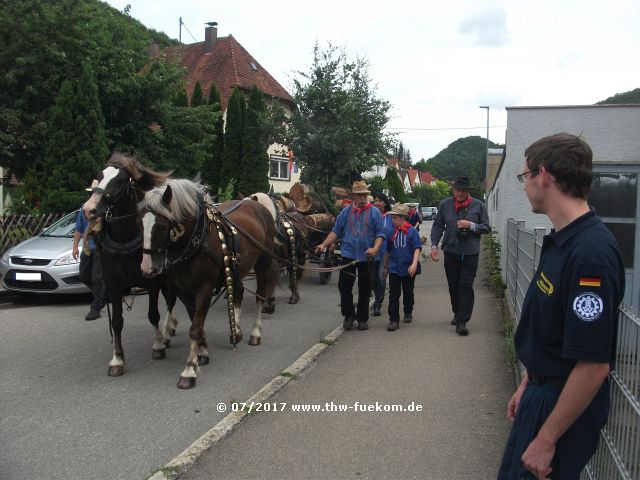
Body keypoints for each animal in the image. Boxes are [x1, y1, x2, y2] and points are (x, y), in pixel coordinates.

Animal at [82, 152, 179, 376]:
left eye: (119, 181)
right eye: (99, 176)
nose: (89, 209)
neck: (124, 240)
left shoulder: (152, 281)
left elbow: (153, 314)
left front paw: (158, 345)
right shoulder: (113, 284)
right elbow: (117, 322)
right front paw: (117, 359)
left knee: (170, 302)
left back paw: (167, 331)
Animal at [139, 178, 278, 388]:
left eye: (161, 226)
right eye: (140, 224)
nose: (148, 268)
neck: (195, 240)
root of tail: (256, 204)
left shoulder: (204, 289)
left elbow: (195, 328)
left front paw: (189, 370)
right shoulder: (183, 290)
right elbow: (194, 320)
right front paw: (202, 352)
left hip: (263, 263)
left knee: (260, 296)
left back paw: (255, 333)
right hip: (237, 269)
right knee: (238, 292)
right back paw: (236, 331)